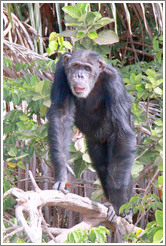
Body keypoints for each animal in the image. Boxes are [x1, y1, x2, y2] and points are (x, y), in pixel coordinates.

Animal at [47, 49, 136, 220]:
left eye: (87, 68)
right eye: (76, 66)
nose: (80, 75)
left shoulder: (114, 81)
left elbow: (122, 133)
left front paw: (118, 202)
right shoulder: (61, 70)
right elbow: (61, 115)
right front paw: (61, 174)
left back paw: (125, 210)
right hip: (94, 142)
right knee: (102, 167)